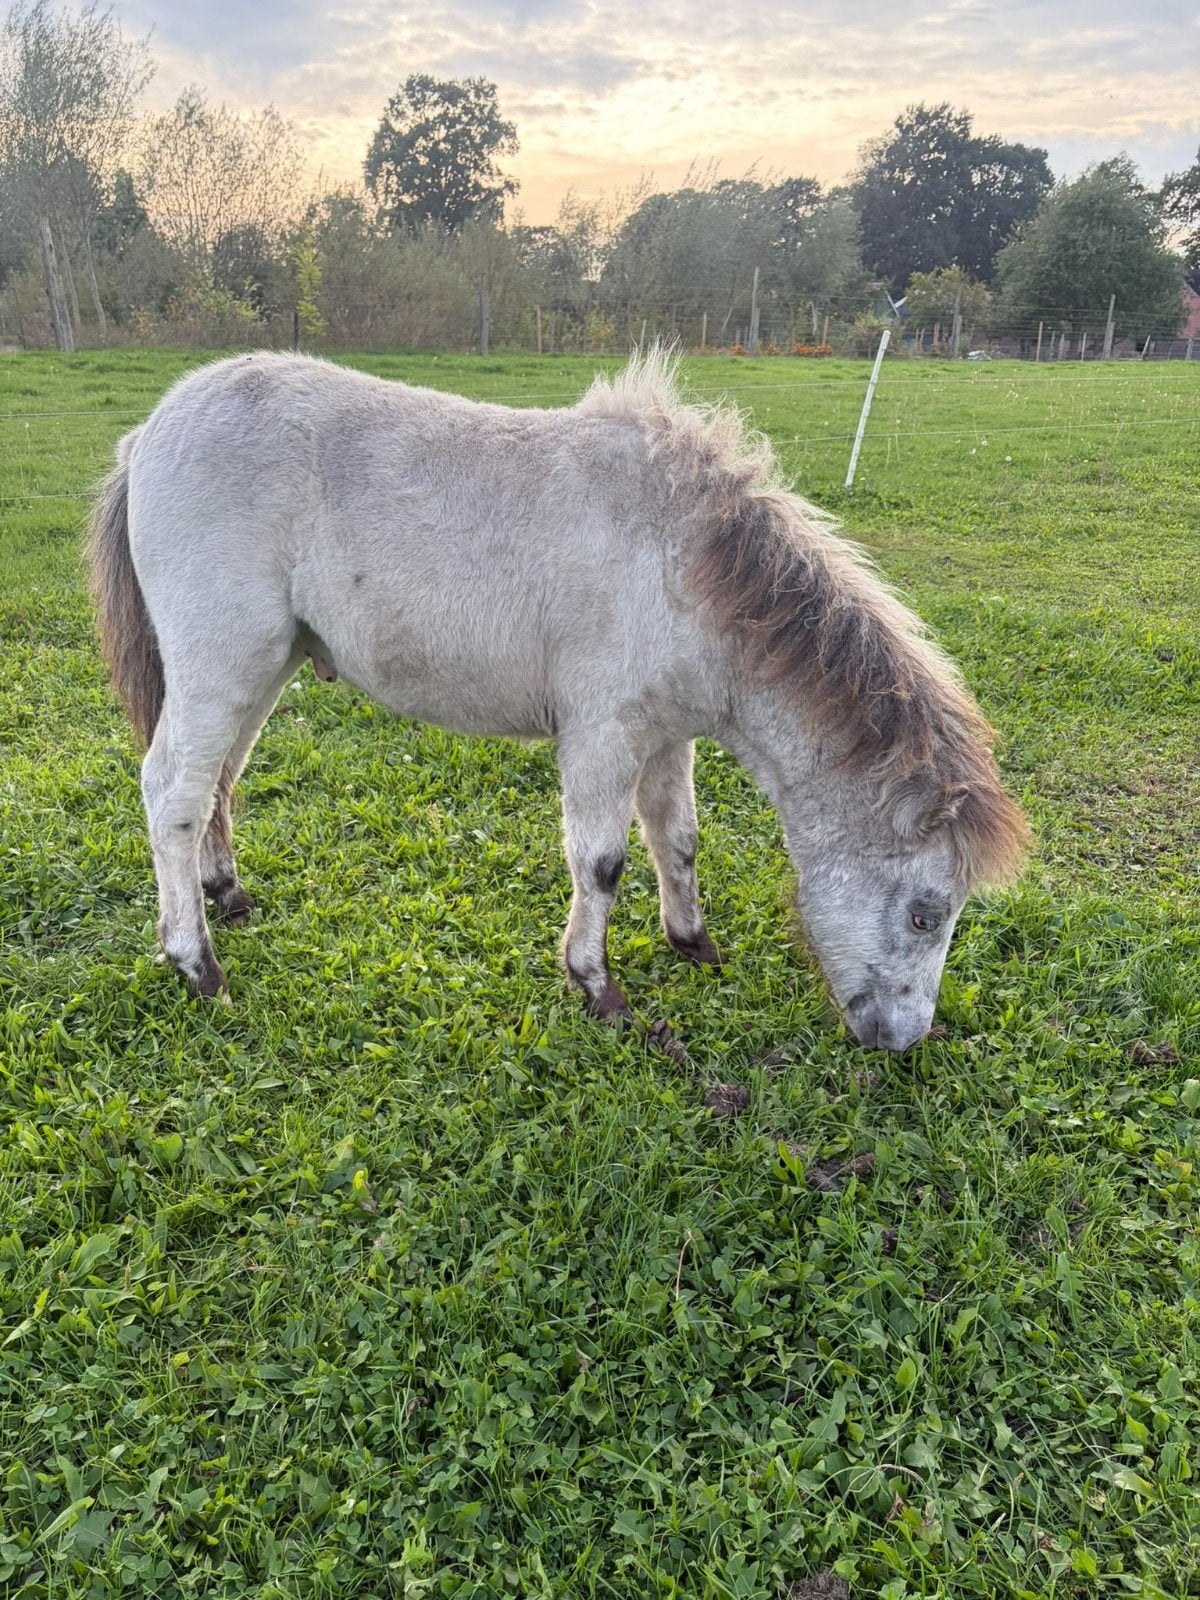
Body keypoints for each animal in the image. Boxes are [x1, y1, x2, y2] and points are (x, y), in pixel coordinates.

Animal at [87, 349, 1030, 1052]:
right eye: (925, 913)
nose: (901, 1041)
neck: (682, 564)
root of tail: (148, 432)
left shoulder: (666, 736)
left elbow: (677, 839)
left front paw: (692, 944)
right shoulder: (603, 735)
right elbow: (602, 860)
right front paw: (596, 985)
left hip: (264, 667)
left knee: (217, 781)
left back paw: (226, 894)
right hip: (221, 664)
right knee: (172, 791)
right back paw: (196, 963)